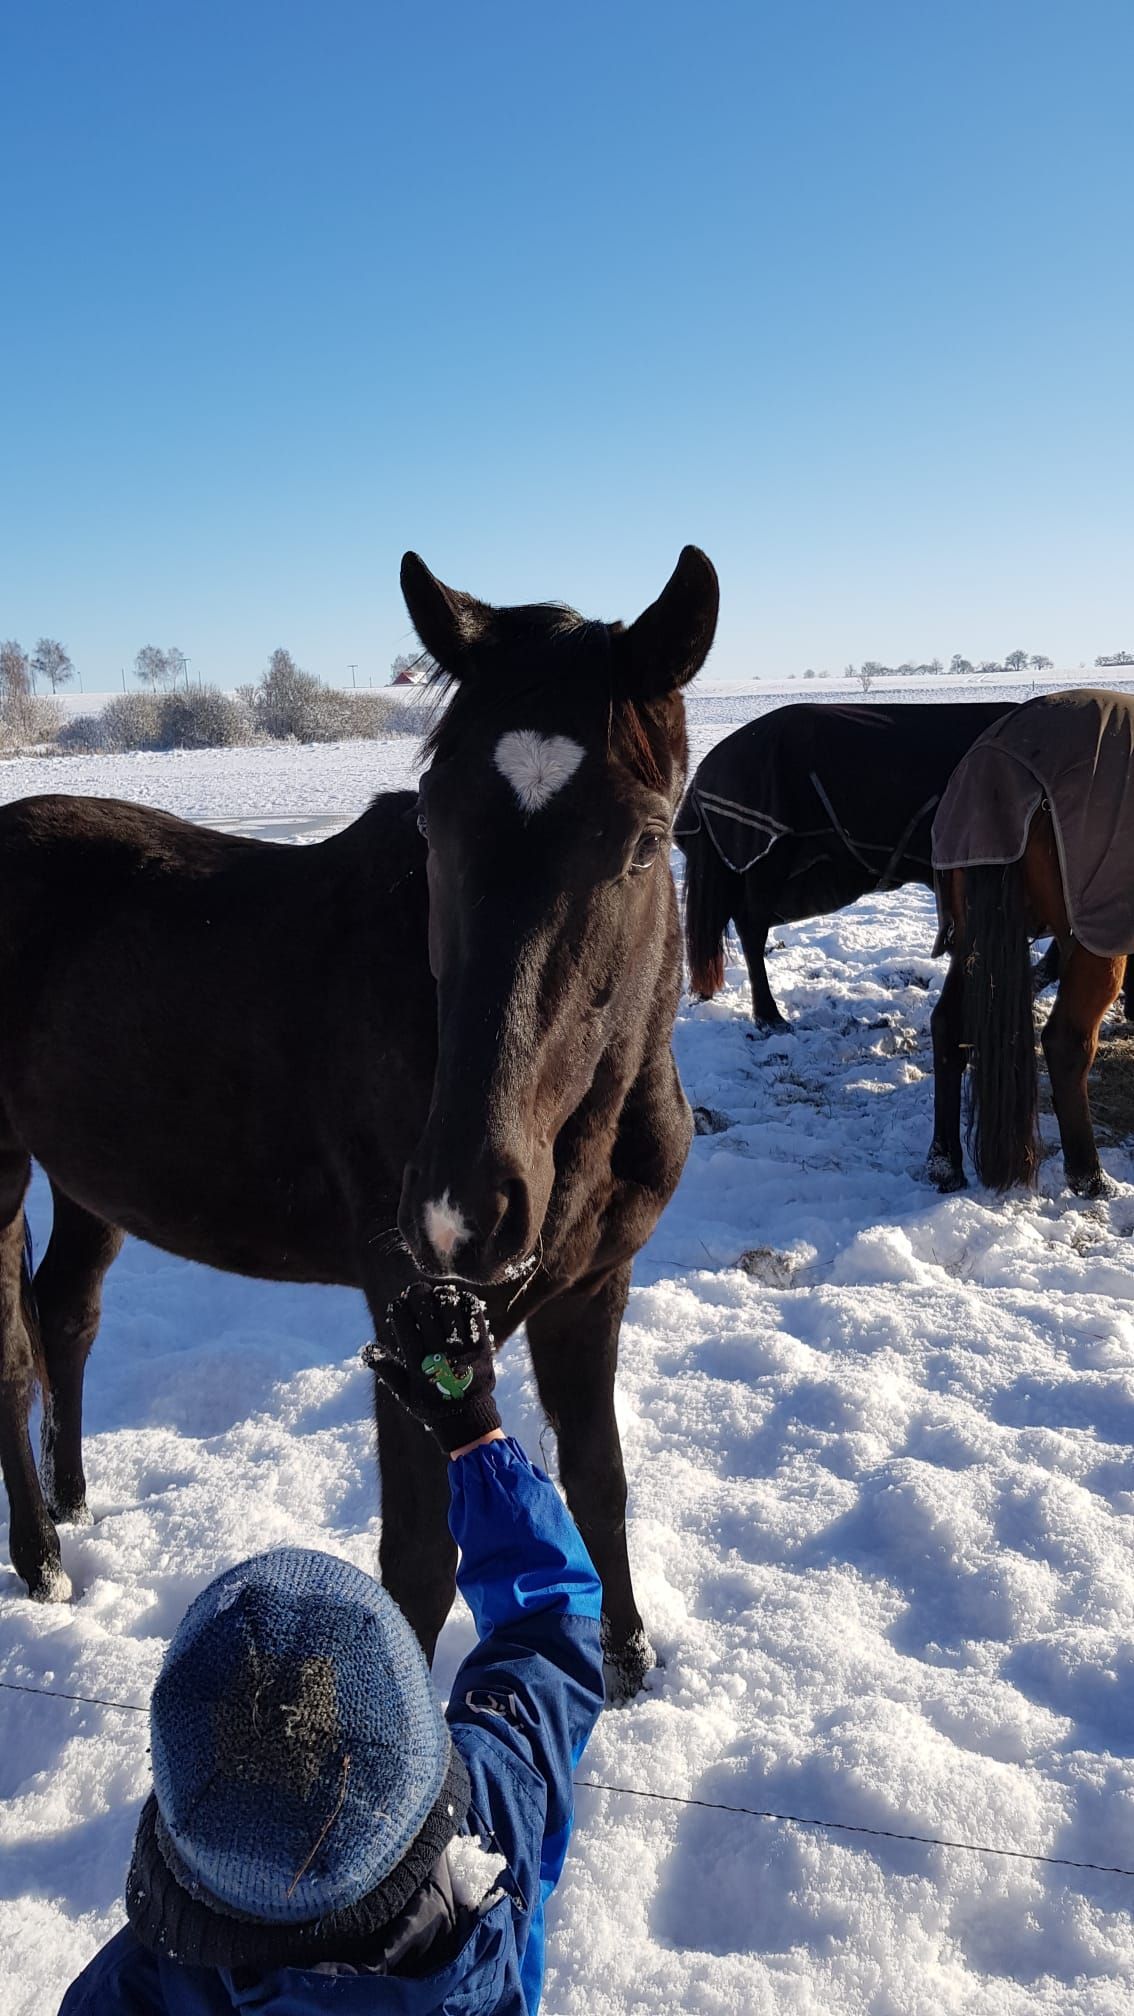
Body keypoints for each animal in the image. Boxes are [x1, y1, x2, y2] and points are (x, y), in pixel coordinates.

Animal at [0, 546, 719, 1701]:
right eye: (432, 820)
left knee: (66, 1316)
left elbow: (600, 1483)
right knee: (13, 1358)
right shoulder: (408, 1314)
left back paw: (75, 1508)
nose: (462, 1208)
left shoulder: (593, 1288)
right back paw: (43, 1562)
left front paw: (628, 1662)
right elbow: (420, 1564)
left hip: (88, 1178)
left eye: (647, 843)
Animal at [928, 689, 1134, 1197]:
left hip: (972, 937)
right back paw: (1089, 1176)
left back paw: (945, 1162)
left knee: (947, 1025)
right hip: (1095, 945)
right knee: (1065, 1044)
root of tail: (996, 769)